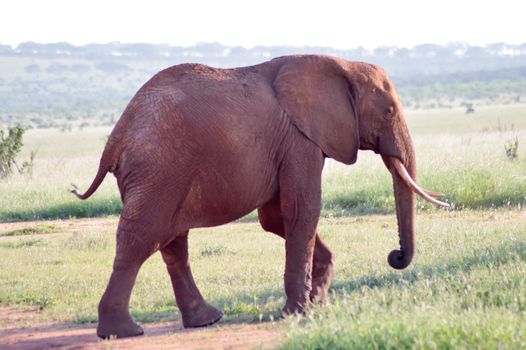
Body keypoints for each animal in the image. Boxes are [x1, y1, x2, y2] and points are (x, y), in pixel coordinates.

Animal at [71, 54, 450, 340]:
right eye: (389, 112)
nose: (395, 256)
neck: (342, 64)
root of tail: (116, 137)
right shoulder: (300, 140)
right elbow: (301, 210)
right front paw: (299, 313)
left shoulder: (289, 144)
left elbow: (275, 218)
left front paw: (318, 298)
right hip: (159, 170)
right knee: (140, 239)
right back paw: (122, 332)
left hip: (161, 174)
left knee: (173, 244)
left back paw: (206, 320)